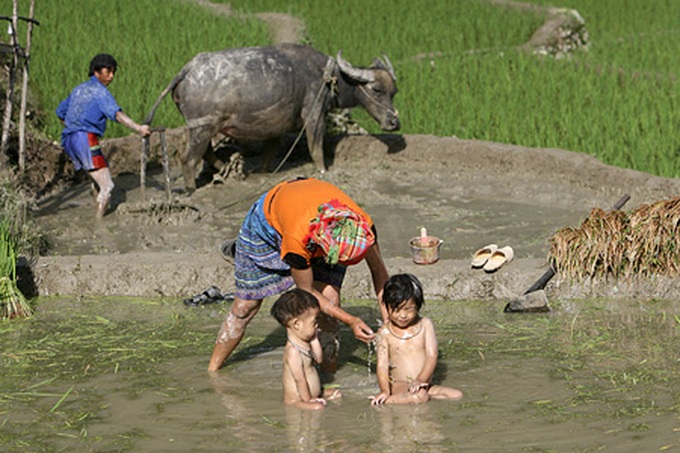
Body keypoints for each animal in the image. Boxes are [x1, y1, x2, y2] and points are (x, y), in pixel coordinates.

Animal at [143, 43, 398, 190]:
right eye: (377, 89)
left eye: (394, 92)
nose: (394, 122)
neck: (330, 76)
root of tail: (186, 71)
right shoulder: (314, 114)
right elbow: (316, 146)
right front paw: (323, 170)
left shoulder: (276, 126)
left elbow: (270, 151)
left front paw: (264, 172)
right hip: (201, 128)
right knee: (188, 158)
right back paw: (192, 189)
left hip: (206, 128)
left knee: (206, 152)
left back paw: (227, 169)